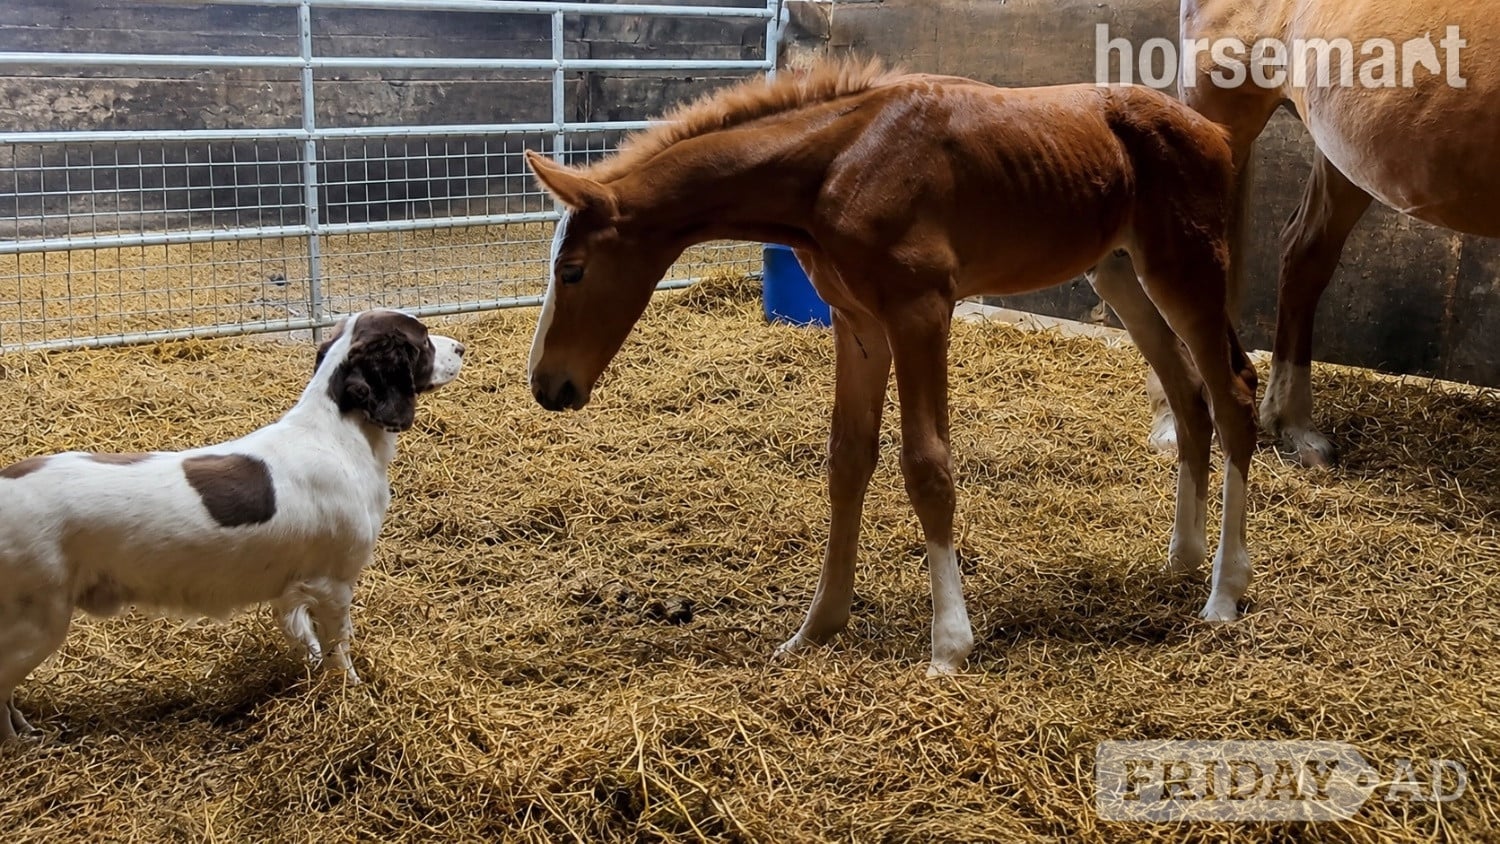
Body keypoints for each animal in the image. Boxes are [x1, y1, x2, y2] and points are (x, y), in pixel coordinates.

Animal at [523, 58, 1258, 676]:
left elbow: (928, 466)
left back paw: (1224, 594)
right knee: (1188, 395)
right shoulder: (860, 325)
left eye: (573, 269)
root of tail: (1215, 132)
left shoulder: (920, 312)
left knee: (1234, 395)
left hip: (1187, 267)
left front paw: (949, 646)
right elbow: (848, 460)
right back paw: (1183, 558)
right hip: (1121, 273)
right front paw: (816, 627)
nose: (545, 385)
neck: (836, 164)